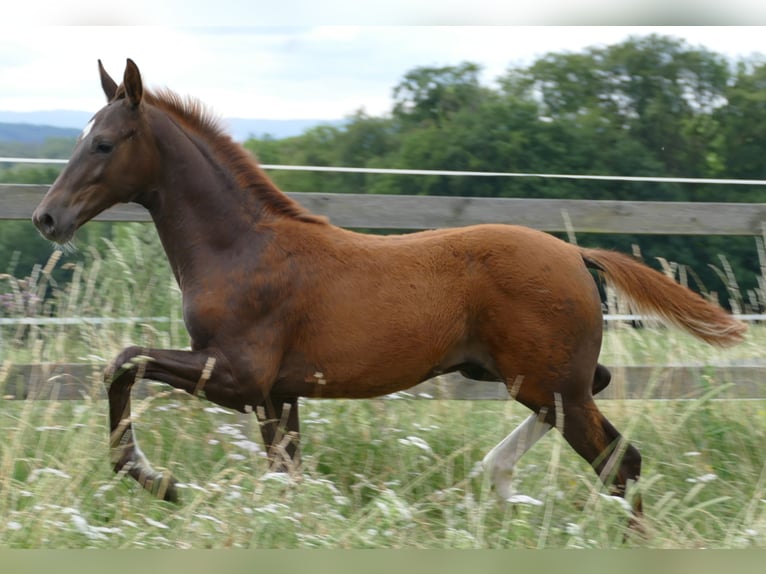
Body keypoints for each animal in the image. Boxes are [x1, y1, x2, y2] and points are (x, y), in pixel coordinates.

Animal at [32, 59, 746, 525]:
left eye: (103, 143)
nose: (47, 218)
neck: (239, 248)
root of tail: (573, 251)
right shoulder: (277, 395)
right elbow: (286, 475)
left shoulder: (237, 375)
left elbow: (123, 362)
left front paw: (157, 480)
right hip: (524, 375)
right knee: (597, 403)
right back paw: (499, 478)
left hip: (543, 381)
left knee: (620, 461)